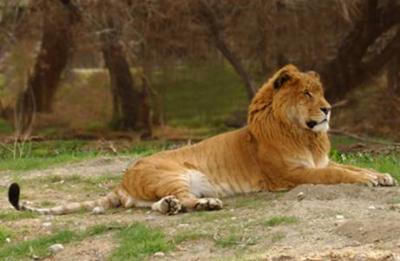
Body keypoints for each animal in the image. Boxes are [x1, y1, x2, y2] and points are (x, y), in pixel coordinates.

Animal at [7, 64, 396, 214]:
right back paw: (205, 204)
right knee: (180, 197)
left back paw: (171, 207)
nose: (329, 109)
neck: (305, 134)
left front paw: (382, 175)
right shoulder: (291, 174)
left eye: (321, 92)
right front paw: (373, 179)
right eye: (306, 94)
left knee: (154, 205)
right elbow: (338, 173)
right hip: (176, 173)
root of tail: (123, 178)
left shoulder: (316, 161)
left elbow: (348, 168)